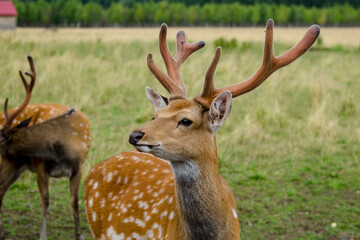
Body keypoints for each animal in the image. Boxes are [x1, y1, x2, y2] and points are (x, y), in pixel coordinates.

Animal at [0, 56, 91, 240]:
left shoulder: (78, 167)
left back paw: (3, 231)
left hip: (16, 166)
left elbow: (74, 201)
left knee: (1, 190)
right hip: (12, 164)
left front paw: (79, 235)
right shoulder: (40, 165)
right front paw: (43, 235)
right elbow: (45, 200)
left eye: (0, 138)